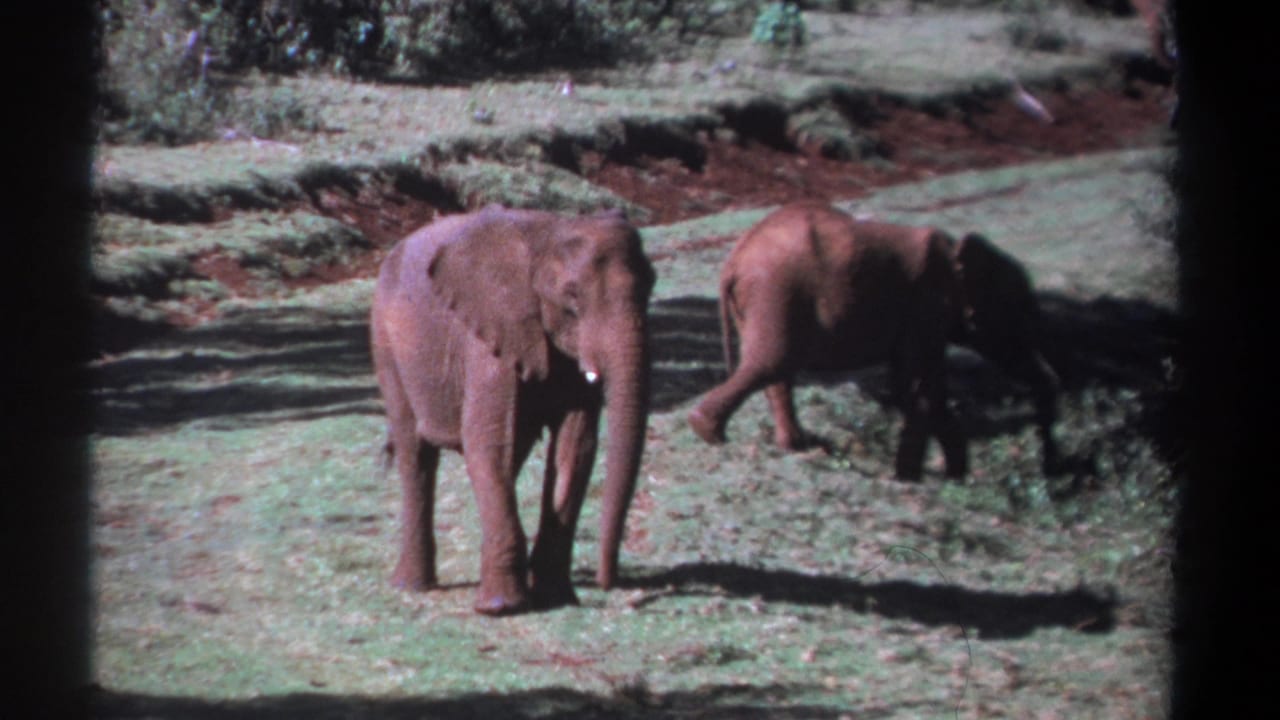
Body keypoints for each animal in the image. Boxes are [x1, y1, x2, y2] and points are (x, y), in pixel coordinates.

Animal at [370, 204, 655, 615]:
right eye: (571, 297)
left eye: (651, 286)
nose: (608, 584)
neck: (550, 233)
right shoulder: (487, 334)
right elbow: (486, 441)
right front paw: (500, 607)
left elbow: (575, 447)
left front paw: (556, 597)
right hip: (386, 344)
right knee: (416, 454)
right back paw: (412, 586)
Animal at [686, 201, 1059, 481]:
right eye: (1020, 313)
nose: (1052, 472)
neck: (957, 253)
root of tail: (734, 261)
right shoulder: (925, 307)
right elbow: (922, 385)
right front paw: (916, 479)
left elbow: (910, 385)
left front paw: (950, 476)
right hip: (776, 291)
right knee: (770, 362)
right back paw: (710, 432)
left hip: (764, 299)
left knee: (774, 370)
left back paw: (793, 446)